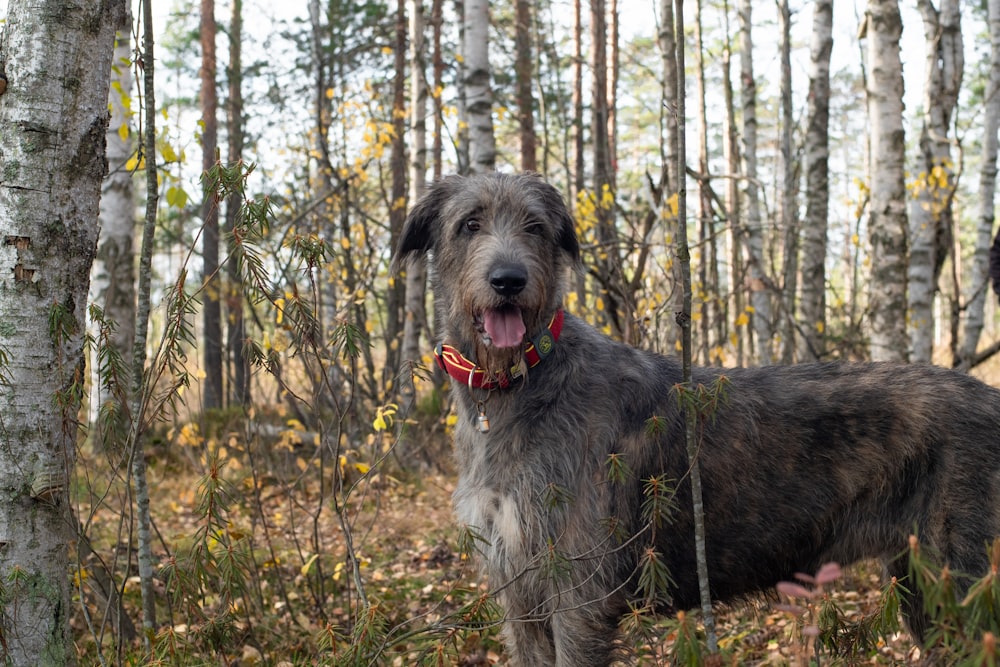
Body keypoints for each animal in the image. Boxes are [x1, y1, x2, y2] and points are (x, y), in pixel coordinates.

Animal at [392, 172, 1000, 667]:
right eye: (469, 224)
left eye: (535, 227)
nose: (509, 280)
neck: (518, 385)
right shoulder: (518, 591)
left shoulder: (579, 591)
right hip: (922, 585)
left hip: (968, 577)